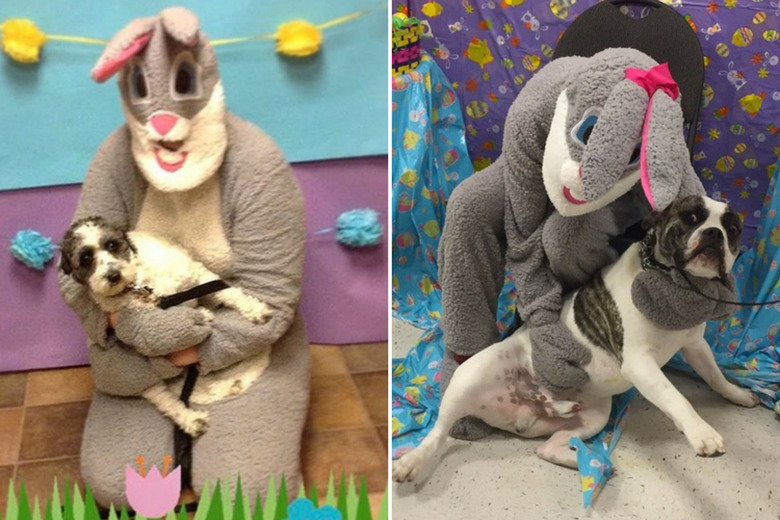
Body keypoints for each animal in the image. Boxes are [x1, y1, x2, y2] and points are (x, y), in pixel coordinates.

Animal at [58, 217, 272, 436]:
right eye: (85, 258)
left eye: (112, 245)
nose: (113, 275)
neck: (138, 286)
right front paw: (198, 317)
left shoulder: (196, 275)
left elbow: (225, 291)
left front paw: (255, 309)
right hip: (135, 369)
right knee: (163, 397)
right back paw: (192, 418)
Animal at [394, 196, 760, 484]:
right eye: (691, 218)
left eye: (732, 229)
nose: (714, 233)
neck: (677, 286)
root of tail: (527, 406)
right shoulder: (640, 364)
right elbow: (676, 397)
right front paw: (701, 432)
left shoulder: (695, 345)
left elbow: (715, 376)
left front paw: (737, 393)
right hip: (470, 375)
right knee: (438, 431)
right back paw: (411, 462)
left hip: (591, 418)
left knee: (548, 447)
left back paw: (593, 463)